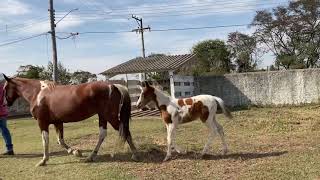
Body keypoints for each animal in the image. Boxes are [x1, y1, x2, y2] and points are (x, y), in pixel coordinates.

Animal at [2, 74, 138, 166]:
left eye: (5, 88)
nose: (5, 104)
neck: (38, 93)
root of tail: (113, 85)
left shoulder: (42, 122)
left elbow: (45, 140)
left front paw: (43, 160)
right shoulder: (57, 122)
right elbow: (60, 140)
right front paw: (75, 151)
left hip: (110, 117)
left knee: (125, 131)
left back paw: (135, 155)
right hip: (103, 116)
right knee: (103, 134)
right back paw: (91, 156)